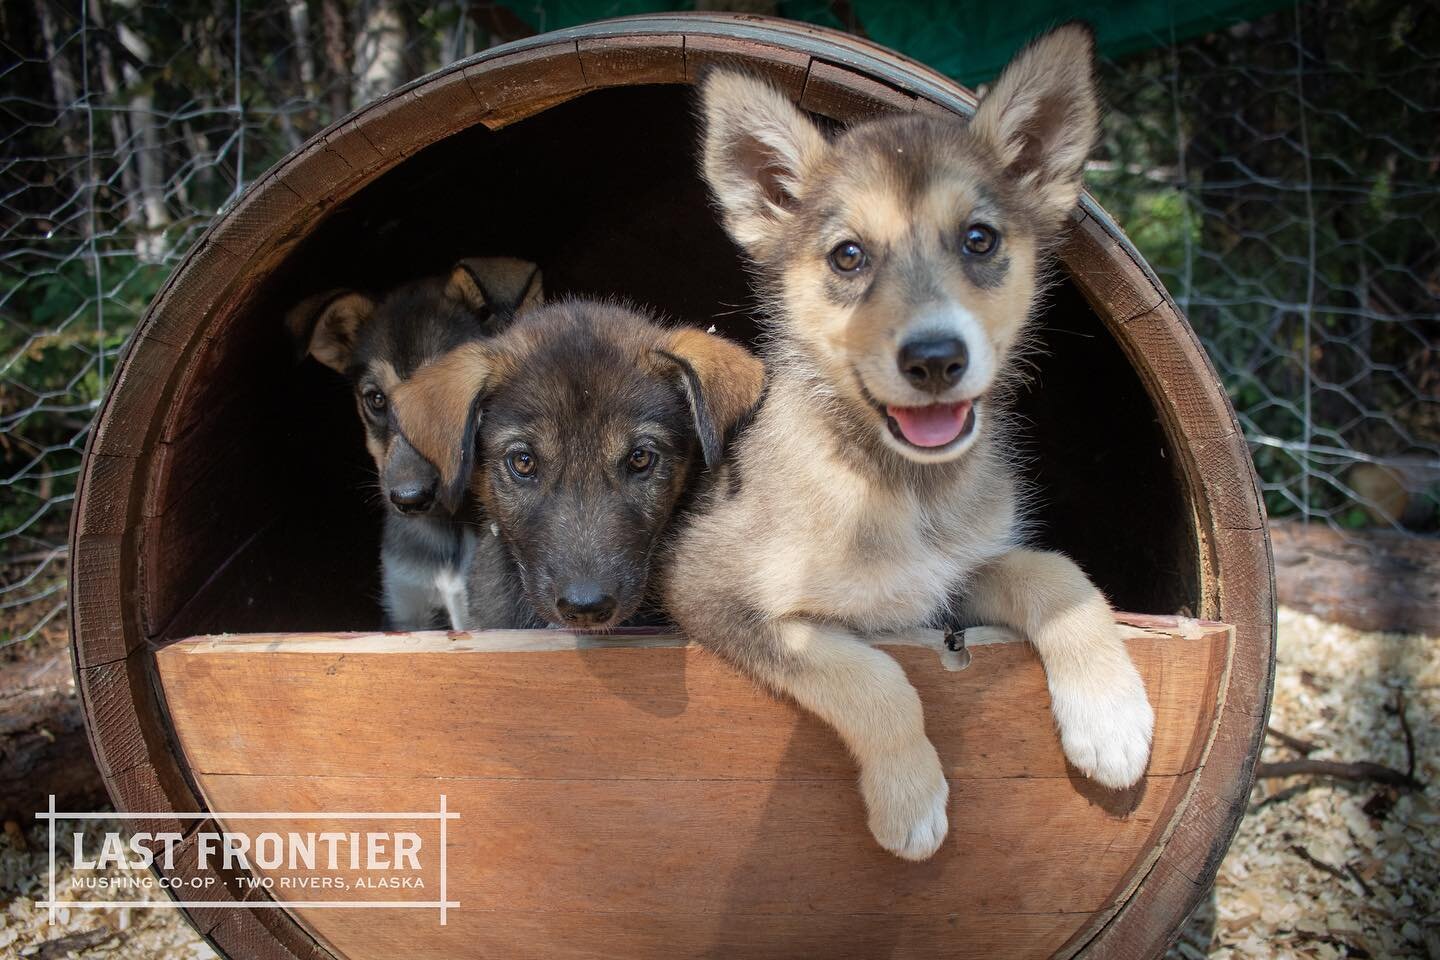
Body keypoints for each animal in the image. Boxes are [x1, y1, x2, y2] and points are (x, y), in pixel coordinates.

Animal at [668, 24, 1152, 863]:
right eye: (848, 256)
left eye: (980, 240)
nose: (934, 359)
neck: (900, 487)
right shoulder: (709, 591)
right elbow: (872, 677)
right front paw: (911, 801)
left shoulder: (951, 583)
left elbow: (1057, 573)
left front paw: (1112, 714)